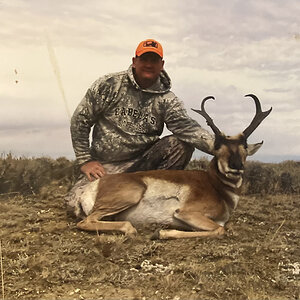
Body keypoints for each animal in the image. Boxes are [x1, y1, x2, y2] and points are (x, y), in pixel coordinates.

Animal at [75, 95, 272, 240]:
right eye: (218, 148)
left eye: (244, 148)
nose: (236, 166)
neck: (216, 186)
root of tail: (92, 186)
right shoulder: (186, 213)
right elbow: (220, 229)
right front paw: (161, 233)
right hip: (131, 194)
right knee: (86, 222)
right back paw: (133, 230)